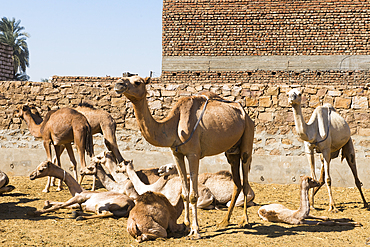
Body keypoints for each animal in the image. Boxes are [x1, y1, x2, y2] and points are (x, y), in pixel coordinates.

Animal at [114, 76, 256, 238]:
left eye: (137, 82)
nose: (119, 84)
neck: (173, 125)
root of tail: (246, 115)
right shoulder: (177, 154)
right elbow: (184, 192)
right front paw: (187, 225)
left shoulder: (193, 154)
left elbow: (193, 194)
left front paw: (195, 230)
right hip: (231, 152)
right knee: (237, 182)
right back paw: (224, 222)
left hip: (247, 139)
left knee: (245, 180)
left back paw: (244, 221)